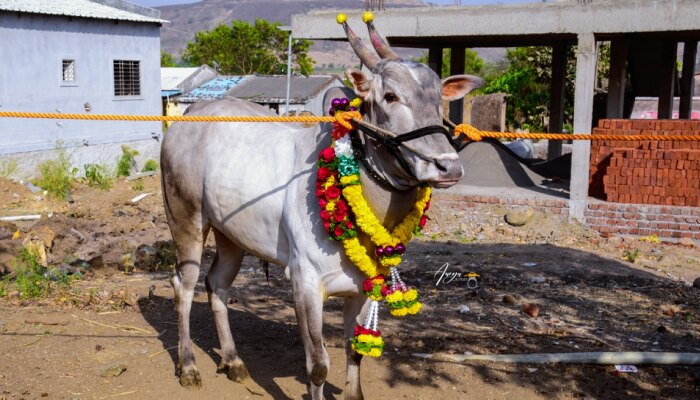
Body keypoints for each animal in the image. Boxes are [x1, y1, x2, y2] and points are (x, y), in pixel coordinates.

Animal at [161, 17, 484, 398]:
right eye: (390, 96)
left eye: (438, 100)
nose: (448, 166)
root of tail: (190, 115)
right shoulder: (305, 283)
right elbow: (318, 365)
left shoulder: (364, 286)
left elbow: (354, 353)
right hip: (186, 220)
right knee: (183, 287)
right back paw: (188, 366)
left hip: (231, 236)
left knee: (217, 285)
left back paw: (233, 361)